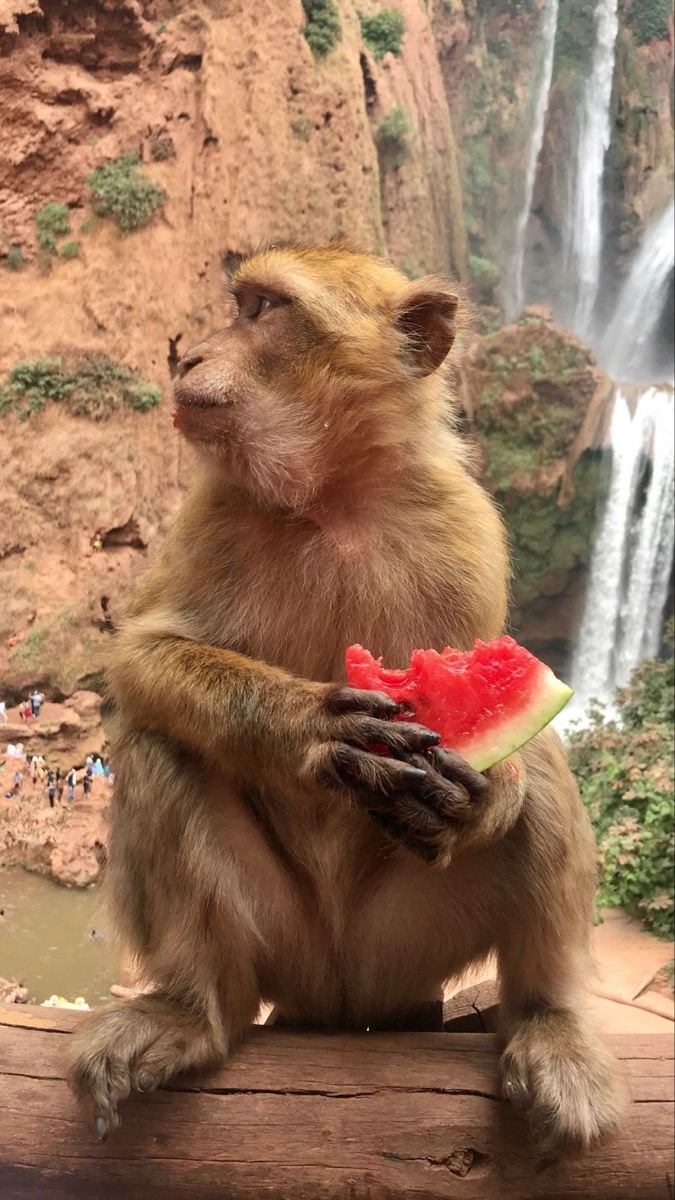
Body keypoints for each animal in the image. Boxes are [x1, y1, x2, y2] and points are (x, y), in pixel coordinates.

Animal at [68, 243, 624, 1152]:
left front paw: (480, 798)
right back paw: (192, 1011)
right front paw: (307, 725)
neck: (332, 499)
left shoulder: (465, 531)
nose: (187, 358)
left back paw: (549, 1023)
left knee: (543, 762)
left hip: (403, 942)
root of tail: (339, 997)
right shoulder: (208, 513)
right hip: (282, 940)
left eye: (263, 310)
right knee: (158, 742)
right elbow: (143, 661)